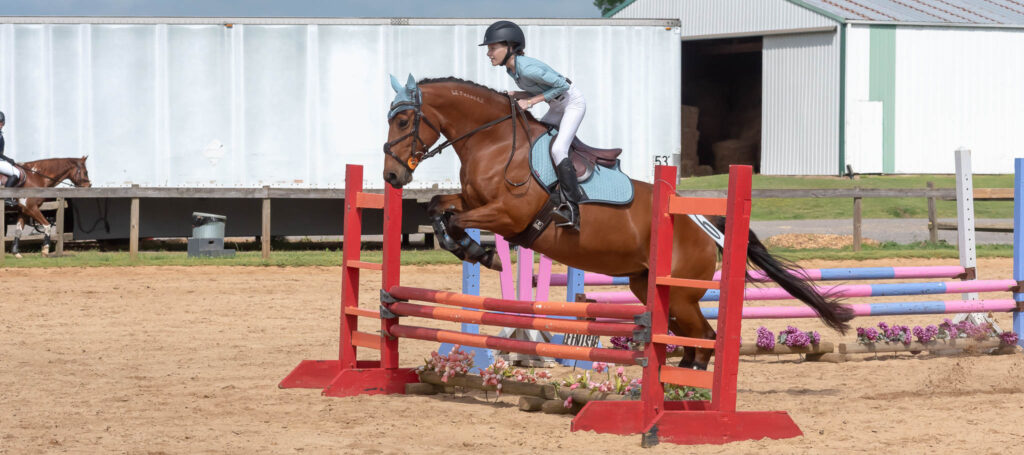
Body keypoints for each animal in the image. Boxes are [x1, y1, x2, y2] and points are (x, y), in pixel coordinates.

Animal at [381, 76, 853, 369]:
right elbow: (439, 207)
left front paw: (479, 252)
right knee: (687, 342)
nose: (391, 177)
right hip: (651, 289)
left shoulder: (508, 215)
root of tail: (707, 225)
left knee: (703, 341)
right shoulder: (476, 201)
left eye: (403, 120)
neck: (494, 141)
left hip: (682, 296)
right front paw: (471, 248)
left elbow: (454, 218)